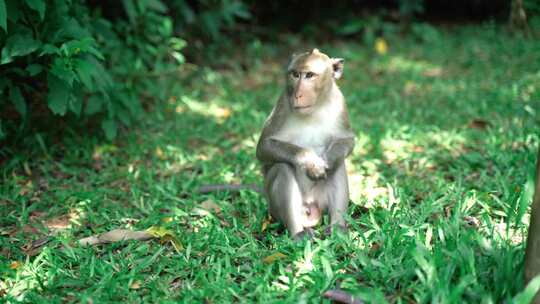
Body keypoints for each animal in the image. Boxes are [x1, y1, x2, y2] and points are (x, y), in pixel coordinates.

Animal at [256, 48, 356, 240]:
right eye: (295, 74)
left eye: (310, 75)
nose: (297, 94)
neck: (315, 108)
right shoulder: (282, 105)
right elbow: (264, 147)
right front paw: (311, 162)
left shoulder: (340, 103)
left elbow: (347, 140)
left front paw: (328, 161)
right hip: (275, 209)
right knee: (283, 167)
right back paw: (298, 233)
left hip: (320, 202)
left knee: (339, 166)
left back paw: (337, 229)